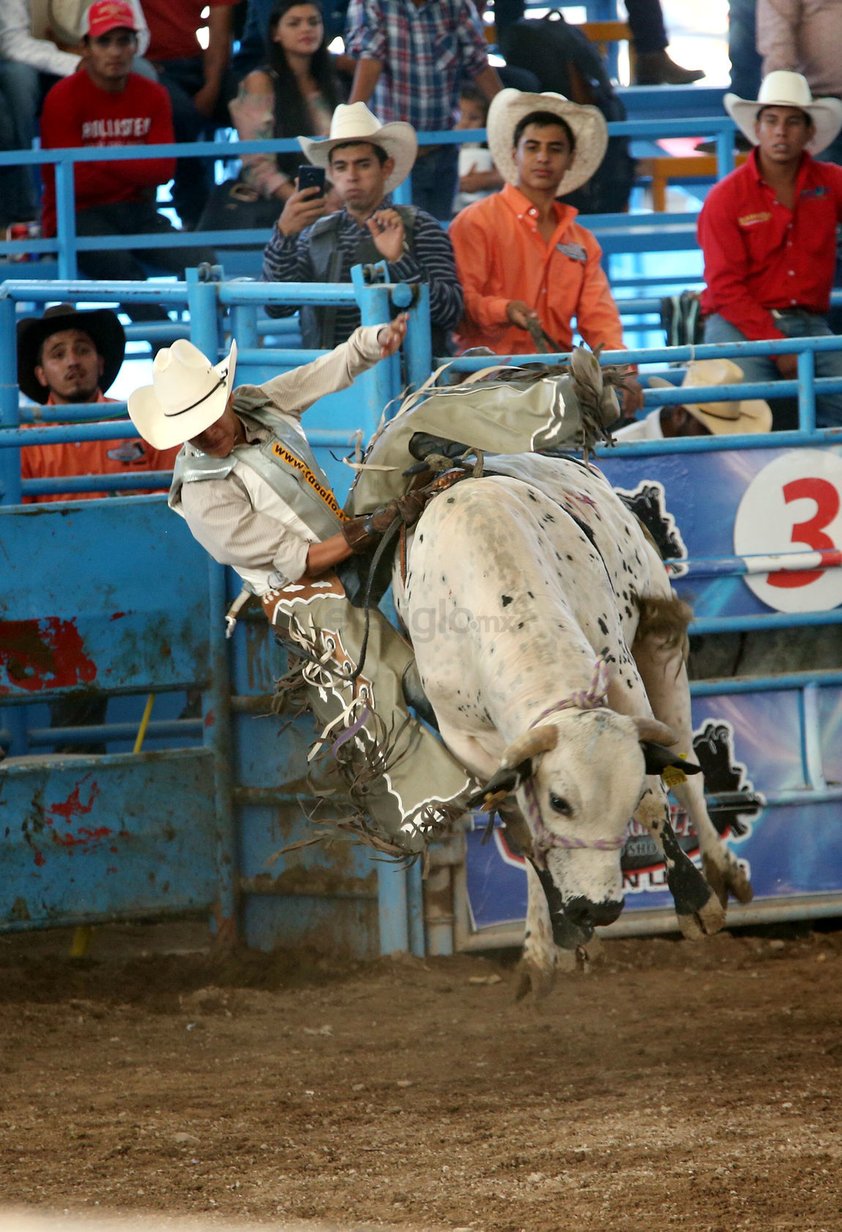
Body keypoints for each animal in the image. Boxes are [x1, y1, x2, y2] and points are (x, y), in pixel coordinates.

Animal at [392, 453, 754, 990]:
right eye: (559, 802)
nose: (598, 910)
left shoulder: (622, 677)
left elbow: (654, 793)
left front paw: (694, 900)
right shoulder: (468, 741)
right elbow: (522, 828)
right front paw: (561, 933)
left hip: (660, 644)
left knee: (685, 764)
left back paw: (721, 869)